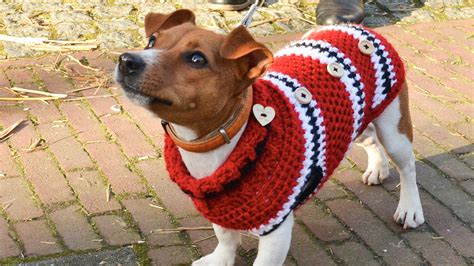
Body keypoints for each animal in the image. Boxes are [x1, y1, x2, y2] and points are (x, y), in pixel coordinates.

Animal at [115, 9, 426, 264]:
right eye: (152, 41)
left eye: (196, 59)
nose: (127, 60)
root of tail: (358, 28)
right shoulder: (220, 211)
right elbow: (225, 239)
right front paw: (220, 259)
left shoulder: (276, 229)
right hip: (356, 120)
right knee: (370, 140)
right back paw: (377, 168)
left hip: (394, 128)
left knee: (407, 166)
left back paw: (410, 208)